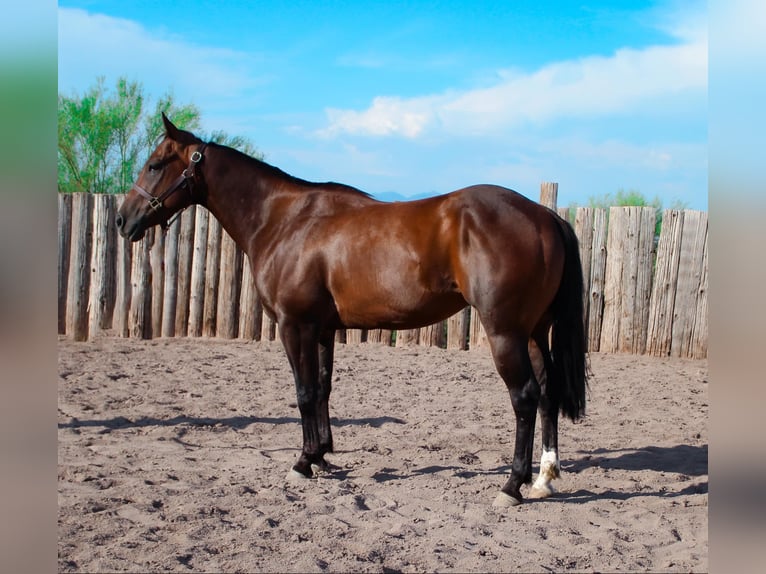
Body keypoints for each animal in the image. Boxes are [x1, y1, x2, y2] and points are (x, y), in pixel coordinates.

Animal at [117, 113, 592, 508]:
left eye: (155, 165)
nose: (123, 220)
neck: (285, 220)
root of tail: (544, 215)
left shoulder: (294, 325)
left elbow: (304, 392)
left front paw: (303, 462)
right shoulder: (322, 328)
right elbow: (323, 388)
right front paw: (322, 455)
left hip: (505, 333)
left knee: (525, 396)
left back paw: (512, 486)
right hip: (534, 332)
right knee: (547, 392)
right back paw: (544, 477)